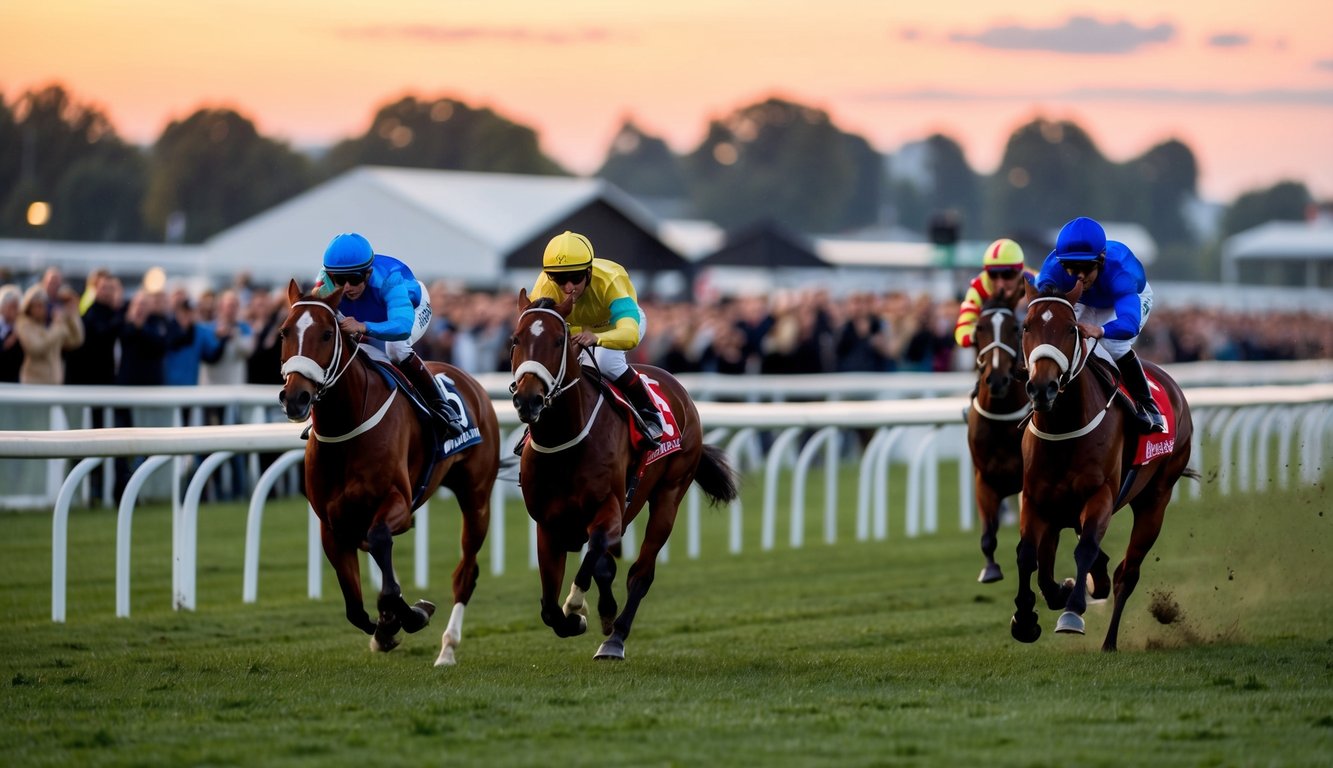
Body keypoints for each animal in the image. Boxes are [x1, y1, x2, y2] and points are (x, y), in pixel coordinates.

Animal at [275, 280, 501, 666]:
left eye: (326, 334)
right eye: (284, 331)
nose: (296, 398)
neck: (345, 428)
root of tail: (469, 380)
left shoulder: (398, 503)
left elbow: (384, 557)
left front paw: (412, 614)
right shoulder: (332, 526)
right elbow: (355, 608)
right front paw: (386, 627)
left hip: (477, 498)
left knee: (466, 572)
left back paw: (447, 648)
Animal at [506, 289, 741, 661]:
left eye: (559, 341)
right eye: (516, 339)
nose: (528, 401)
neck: (564, 442)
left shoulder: (610, 508)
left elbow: (595, 553)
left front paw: (576, 605)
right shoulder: (548, 524)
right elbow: (549, 608)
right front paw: (575, 620)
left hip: (668, 493)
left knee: (640, 573)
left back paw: (614, 639)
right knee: (610, 567)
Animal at [1007, 278, 1199, 650]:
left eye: (1071, 329)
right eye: (1026, 327)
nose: (1042, 388)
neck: (1063, 427)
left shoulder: (1100, 496)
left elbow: (1085, 550)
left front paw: (1072, 612)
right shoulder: (1037, 500)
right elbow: (1028, 555)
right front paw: (1025, 619)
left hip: (1155, 498)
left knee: (1128, 572)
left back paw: (1109, 639)